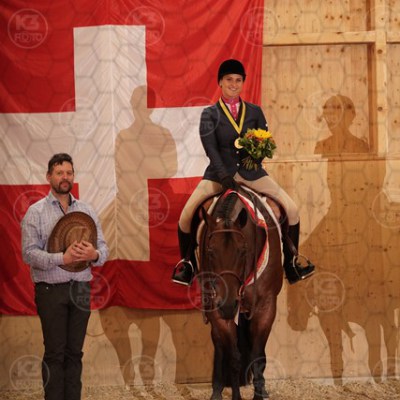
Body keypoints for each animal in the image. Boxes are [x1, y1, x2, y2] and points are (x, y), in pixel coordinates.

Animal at [197, 187, 283, 400]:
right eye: (210, 251)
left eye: (243, 251)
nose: (228, 305)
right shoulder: (217, 308)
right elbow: (234, 357)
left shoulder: (266, 306)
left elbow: (258, 357)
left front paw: (259, 393)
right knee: (220, 344)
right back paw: (217, 390)